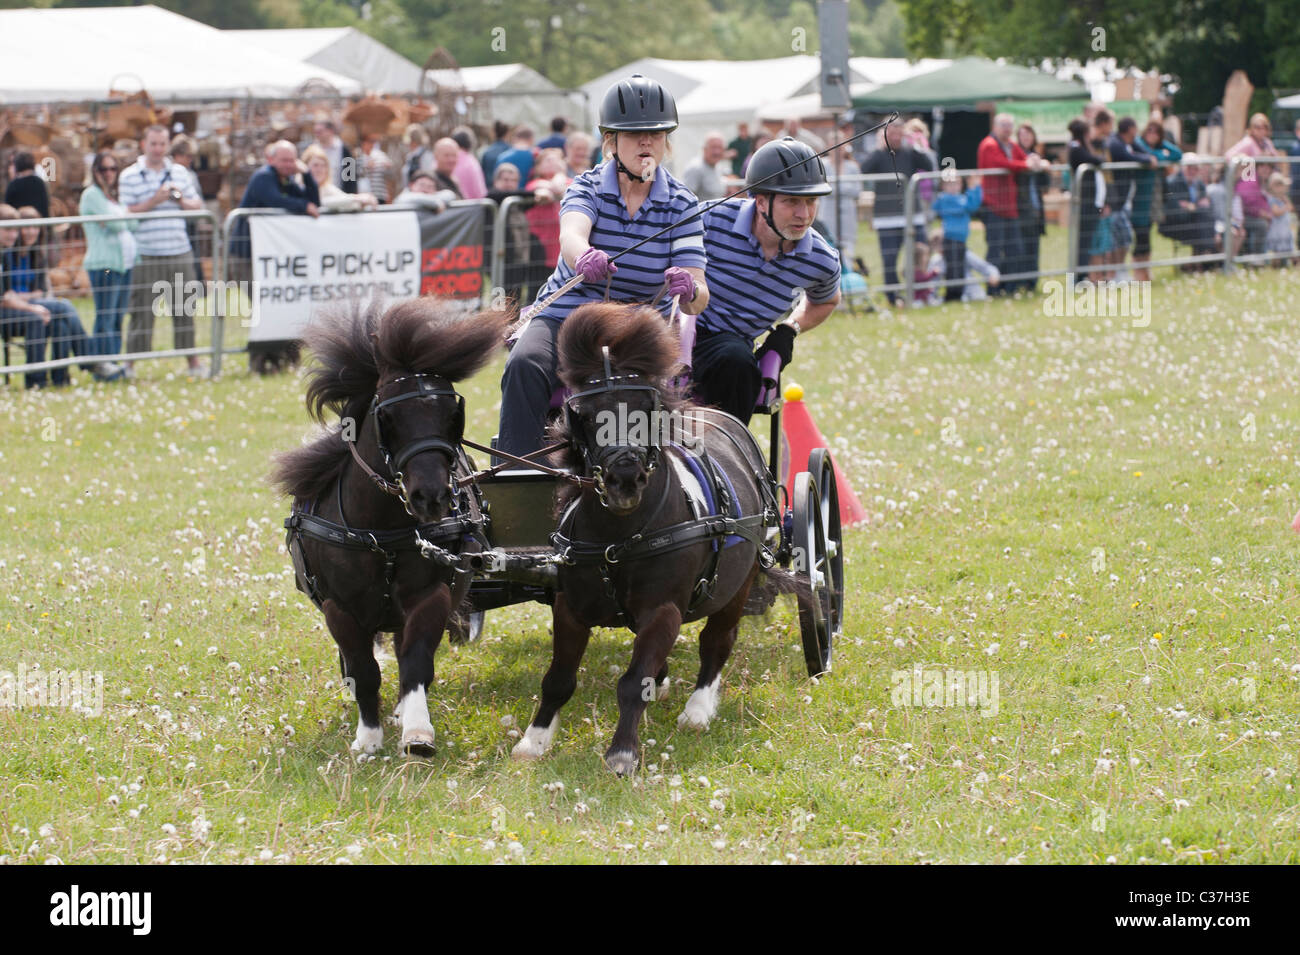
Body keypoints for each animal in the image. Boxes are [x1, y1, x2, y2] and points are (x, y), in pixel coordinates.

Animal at [273, 298, 506, 753]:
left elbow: (415, 661)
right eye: (389, 414)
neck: (380, 533)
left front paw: (416, 730)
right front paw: (367, 737)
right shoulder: (339, 608)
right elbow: (363, 669)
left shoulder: (431, 595)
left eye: (452, 413)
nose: (430, 496)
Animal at [512, 306, 785, 779]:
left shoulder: (663, 609)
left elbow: (631, 682)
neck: (618, 538)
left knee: (718, 641)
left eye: (644, 409)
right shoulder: (570, 607)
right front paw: (535, 740)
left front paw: (622, 753)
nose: (625, 477)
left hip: (740, 582)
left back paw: (698, 709)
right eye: (586, 414)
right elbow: (558, 678)